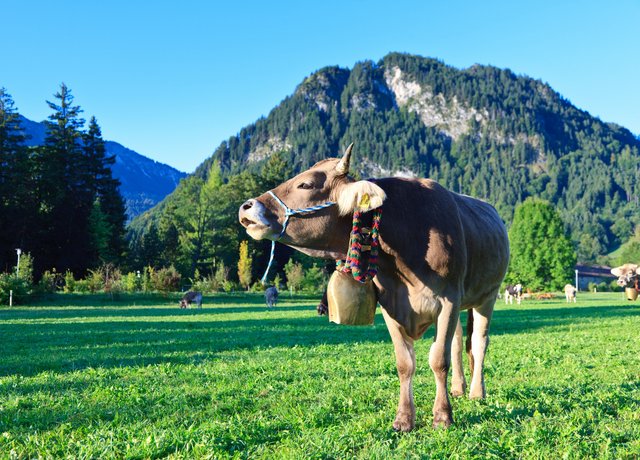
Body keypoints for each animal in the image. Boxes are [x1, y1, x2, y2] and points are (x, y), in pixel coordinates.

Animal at [236, 145, 510, 432]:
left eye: (306, 184)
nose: (246, 206)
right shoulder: (391, 304)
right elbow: (405, 363)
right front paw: (404, 418)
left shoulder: (448, 299)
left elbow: (438, 360)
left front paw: (442, 416)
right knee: (457, 343)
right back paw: (458, 388)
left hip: (487, 296)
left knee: (479, 342)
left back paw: (477, 392)